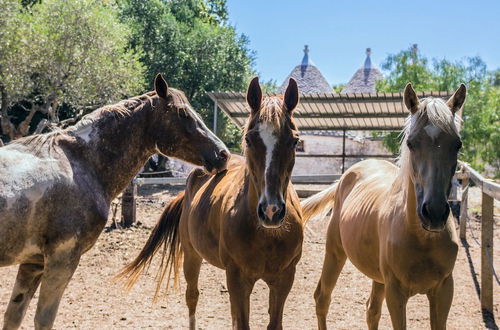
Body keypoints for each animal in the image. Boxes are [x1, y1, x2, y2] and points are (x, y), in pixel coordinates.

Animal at [0, 75, 229, 330]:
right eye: (182, 113)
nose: (223, 154)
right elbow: (43, 319)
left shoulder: (33, 263)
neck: (81, 164)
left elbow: (13, 317)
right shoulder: (62, 259)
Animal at [120, 76, 304, 328]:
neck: (266, 235)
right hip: (191, 255)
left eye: (294, 141)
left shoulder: (285, 279)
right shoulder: (237, 278)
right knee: (192, 297)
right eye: (249, 139)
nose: (271, 211)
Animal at [300, 84, 468, 328]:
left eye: (457, 144)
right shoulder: (396, 294)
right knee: (322, 298)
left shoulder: (444, 291)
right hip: (334, 252)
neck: (422, 237)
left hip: (377, 277)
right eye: (411, 143)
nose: (434, 213)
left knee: (372, 311)